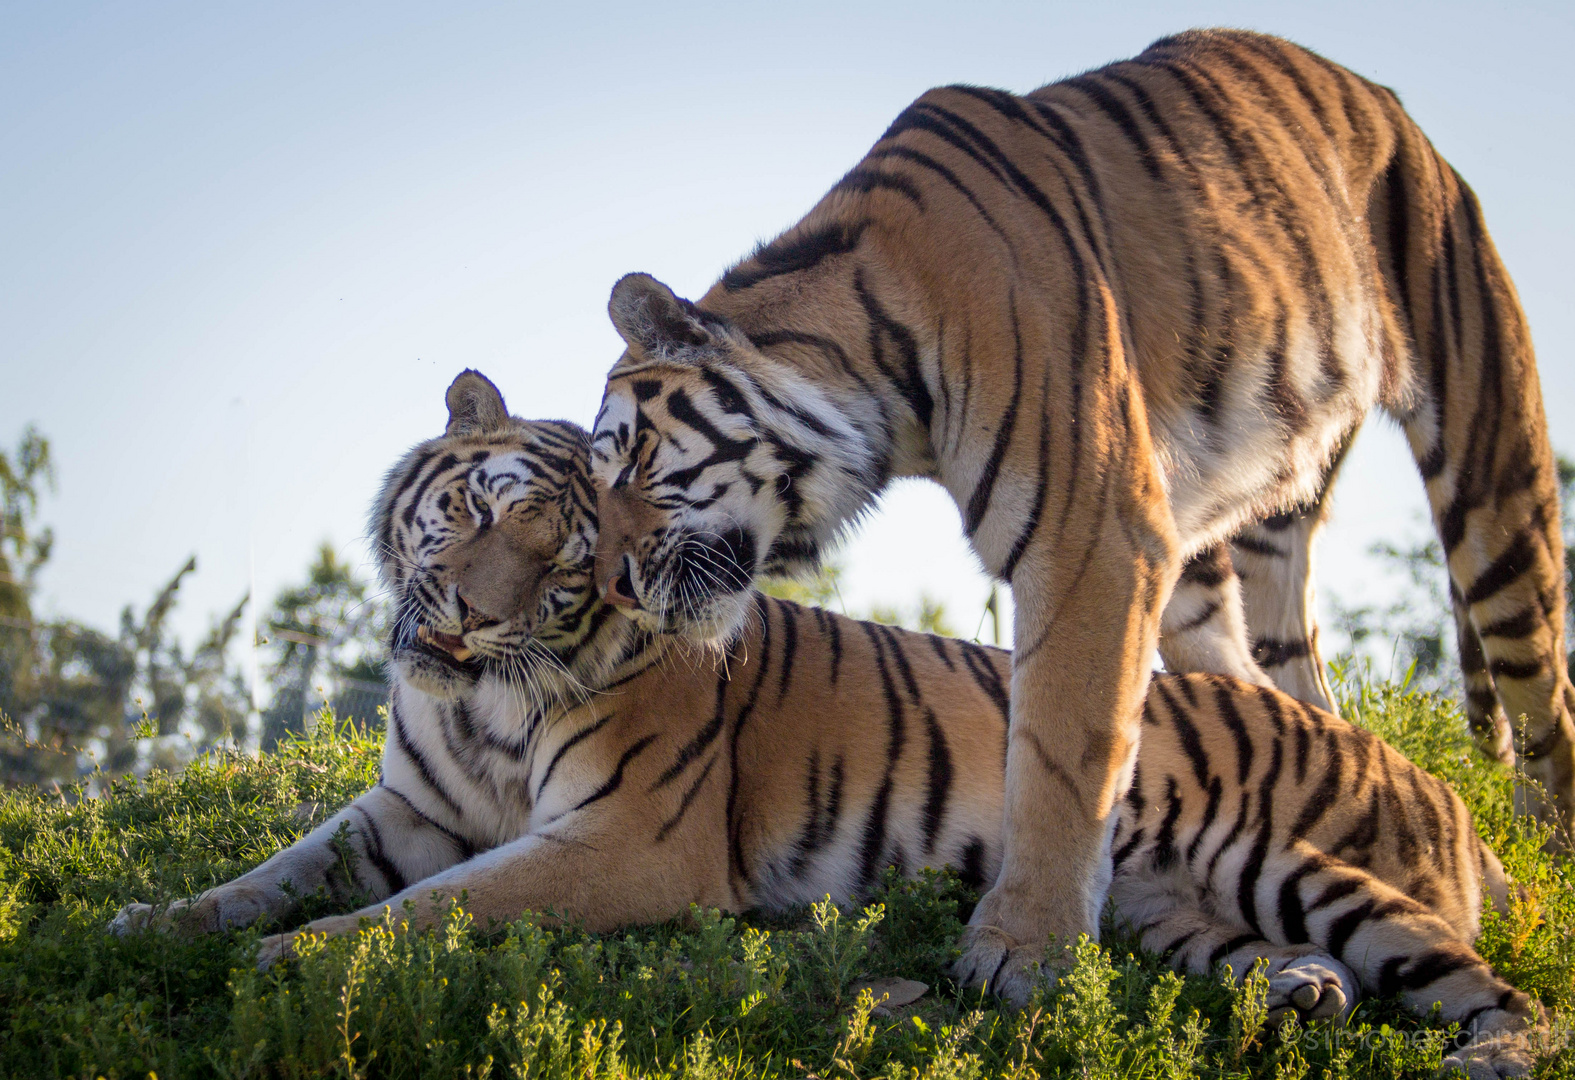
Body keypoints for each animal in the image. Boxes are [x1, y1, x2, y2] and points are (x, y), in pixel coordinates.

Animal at [116, 374, 1543, 1080]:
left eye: (560, 565)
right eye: (472, 511)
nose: (465, 617)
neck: (483, 709)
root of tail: (1444, 787)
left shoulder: (626, 843)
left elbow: (435, 909)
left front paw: (293, 965)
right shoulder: (404, 809)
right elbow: (271, 873)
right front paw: (154, 923)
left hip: (1293, 865)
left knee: (1481, 986)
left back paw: (1493, 1057)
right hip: (1173, 912)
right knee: (1300, 966)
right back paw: (1303, 998)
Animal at [589, 27, 1575, 1007]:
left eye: (630, 460)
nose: (615, 589)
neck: (882, 380)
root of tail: (1384, 101)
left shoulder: (1092, 539)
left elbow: (1059, 754)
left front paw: (1023, 951)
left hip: (1488, 449)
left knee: (1541, 693)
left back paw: (1544, 872)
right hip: (1231, 558)